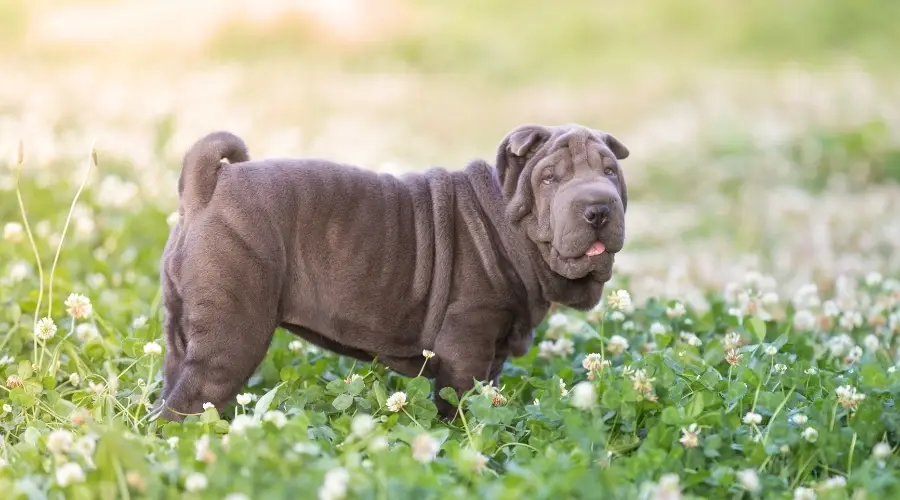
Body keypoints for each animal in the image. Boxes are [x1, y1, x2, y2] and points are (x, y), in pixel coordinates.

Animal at [155, 123, 628, 420]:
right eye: (549, 178)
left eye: (610, 172)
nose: (598, 209)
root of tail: (209, 185)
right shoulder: (467, 343)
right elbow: (458, 401)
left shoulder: (491, 352)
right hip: (235, 331)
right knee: (189, 402)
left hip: (181, 332)